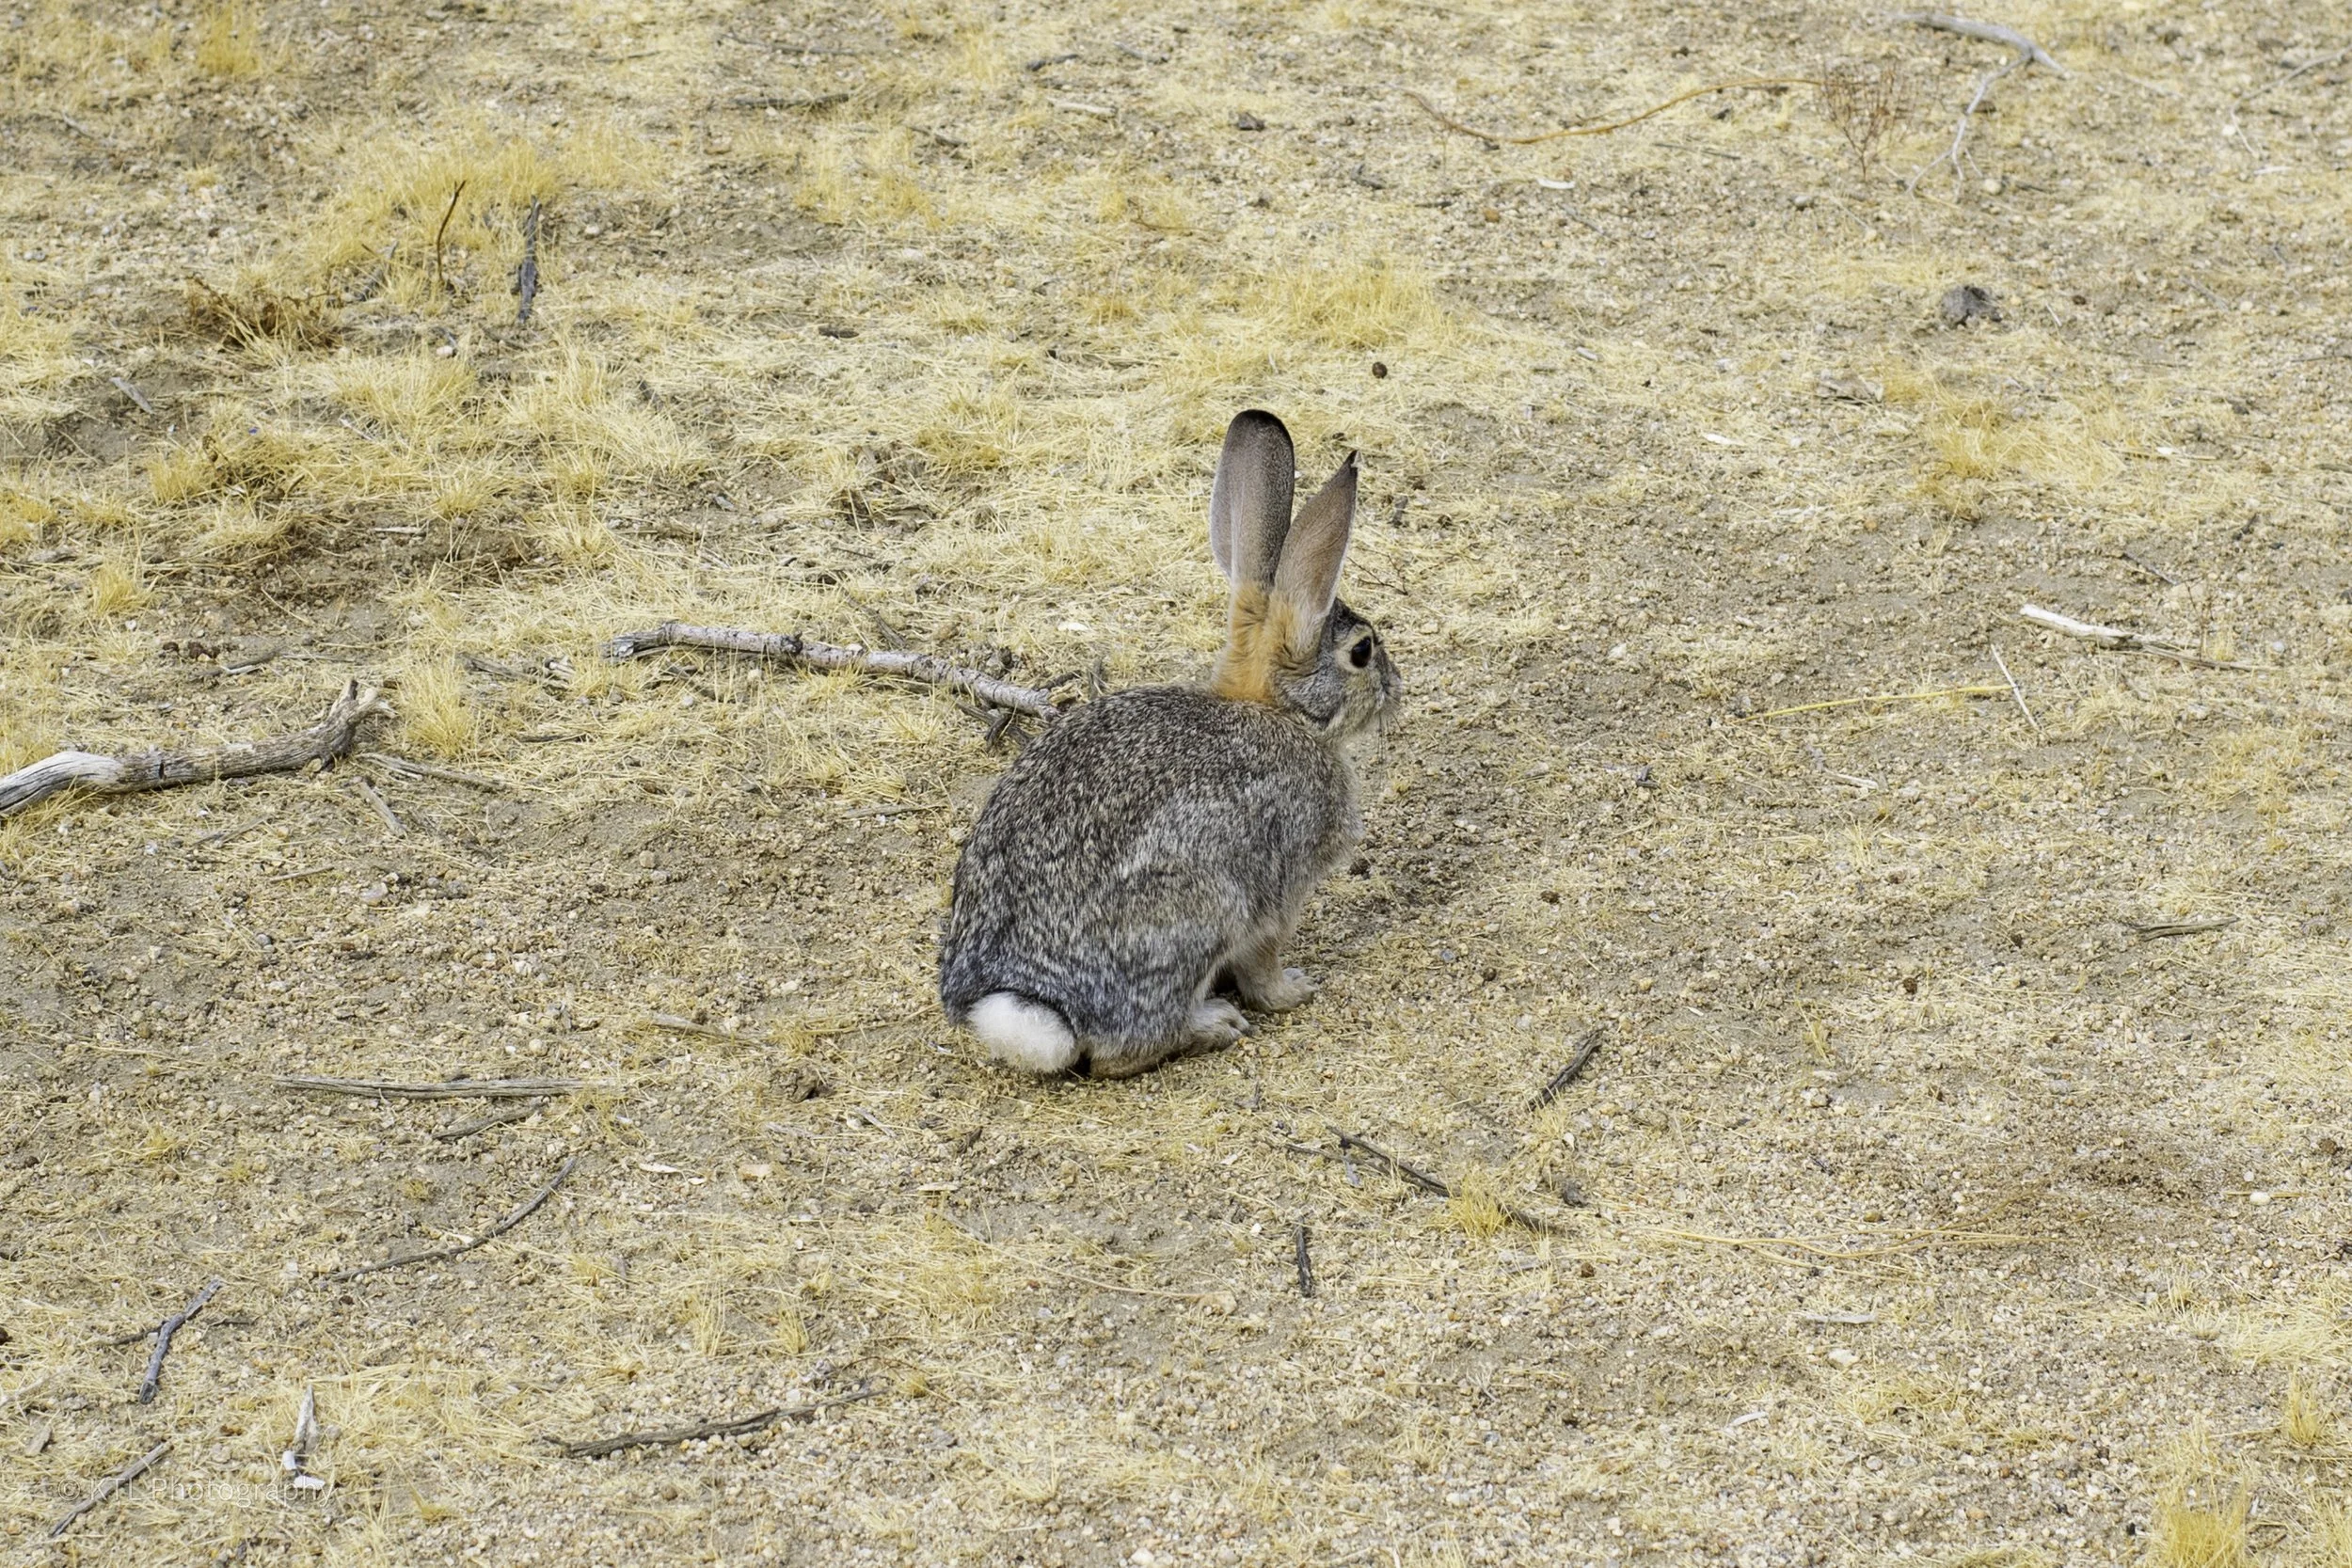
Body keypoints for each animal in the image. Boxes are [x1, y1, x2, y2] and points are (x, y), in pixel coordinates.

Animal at [938, 409, 1401, 1078]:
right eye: (1362, 652)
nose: (1395, 688)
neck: (1280, 712)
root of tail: (1035, 1005)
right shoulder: (1277, 888)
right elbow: (1264, 958)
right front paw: (1291, 990)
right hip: (1201, 908)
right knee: (1121, 1052)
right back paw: (1214, 1023)